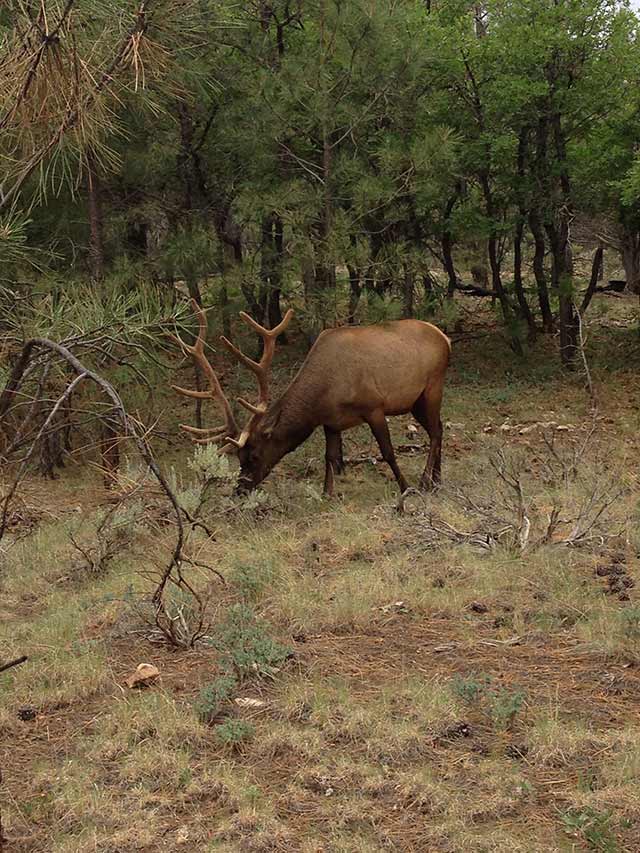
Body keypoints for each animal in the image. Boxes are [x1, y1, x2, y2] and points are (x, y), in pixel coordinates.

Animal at [170, 302, 450, 496]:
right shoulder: (332, 422)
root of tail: (445, 338)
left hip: (433, 386)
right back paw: (437, 480)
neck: (324, 395)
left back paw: (426, 481)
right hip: (415, 401)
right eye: (239, 458)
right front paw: (327, 493)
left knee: (436, 431)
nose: (240, 490)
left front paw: (405, 487)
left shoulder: (374, 407)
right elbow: (331, 457)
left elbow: (388, 451)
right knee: (438, 429)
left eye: (254, 456)